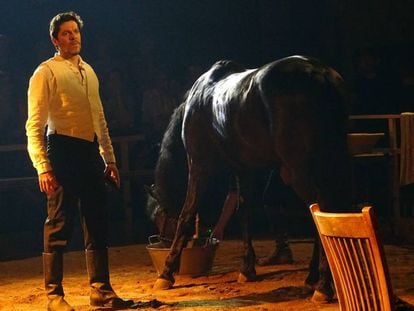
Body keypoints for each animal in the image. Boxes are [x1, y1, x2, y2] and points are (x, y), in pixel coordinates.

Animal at [150, 55, 350, 302]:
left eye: (158, 218)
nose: (161, 244)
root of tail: (319, 72)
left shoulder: (198, 165)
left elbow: (186, 215)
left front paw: (166, 273)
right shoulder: (244, 169)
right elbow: (244, 212)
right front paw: (246, 269)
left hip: (301, 171)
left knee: (322, 212)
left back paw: (322, 285)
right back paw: (315, 279)